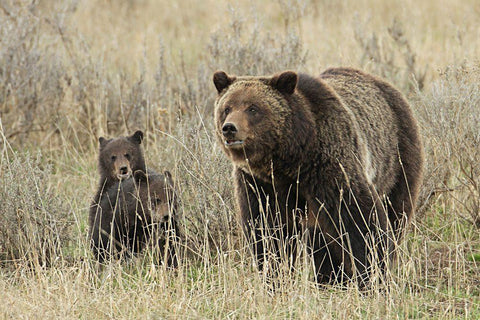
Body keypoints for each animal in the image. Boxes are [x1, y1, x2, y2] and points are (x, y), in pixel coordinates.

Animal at [212, 67, 422, 284]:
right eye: (227, 108)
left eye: (253, 108)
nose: (229, 128)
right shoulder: (259, 184)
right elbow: (267, 230)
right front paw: (275, 275)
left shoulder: (329, 166)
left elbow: (360, 220)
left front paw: (372, 274)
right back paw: (330, 277)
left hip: (397, 159)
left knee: (396, 212)